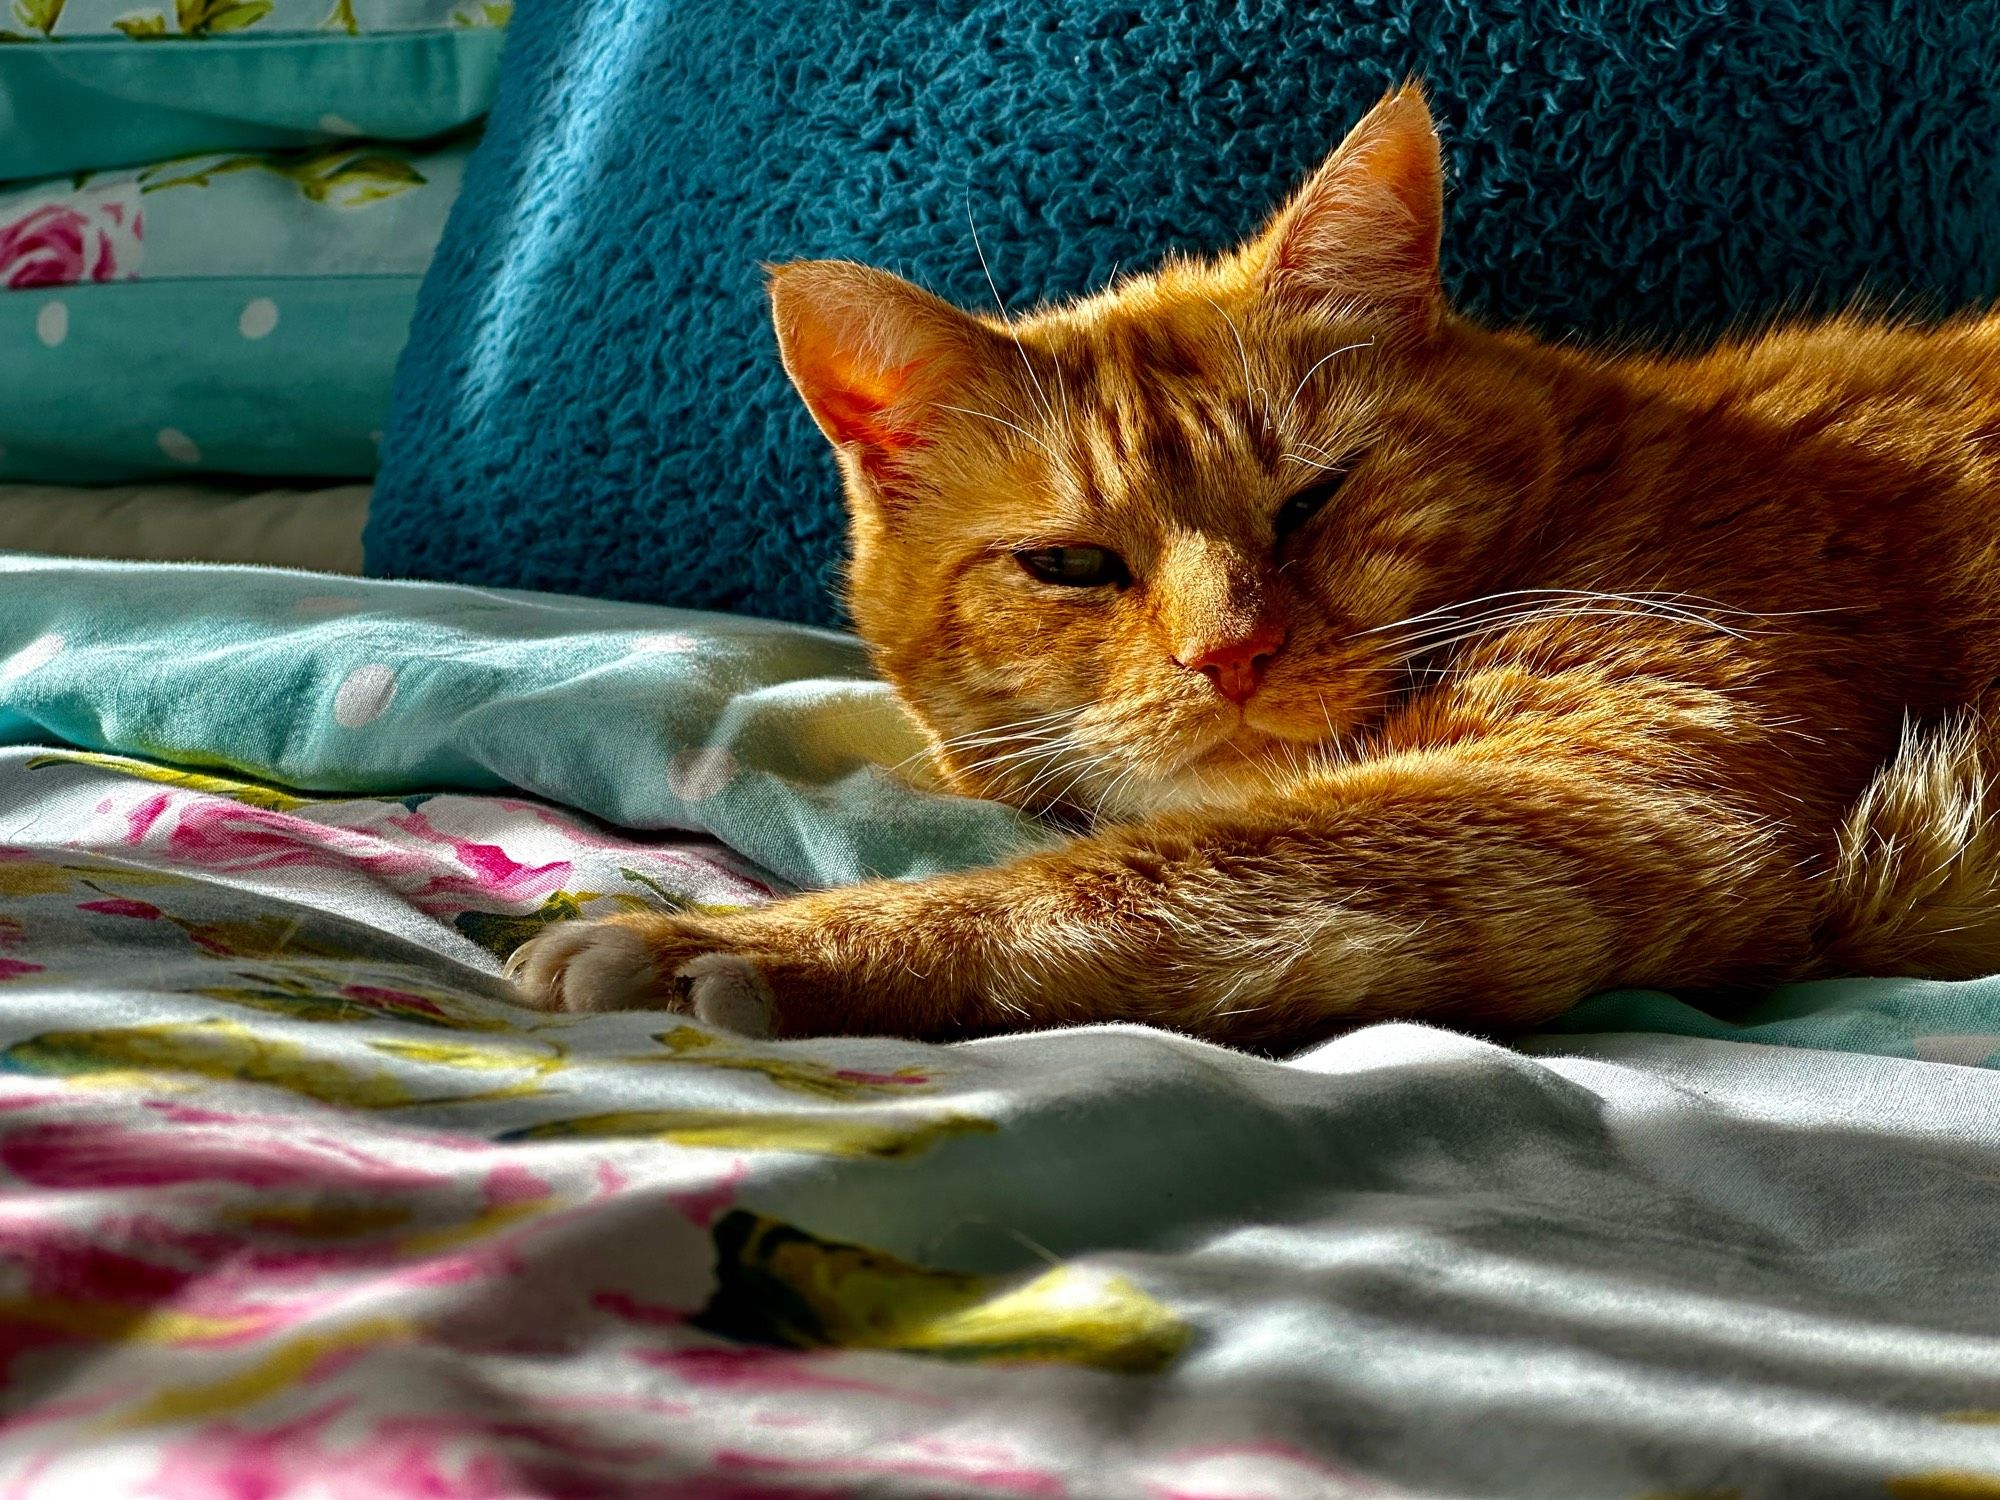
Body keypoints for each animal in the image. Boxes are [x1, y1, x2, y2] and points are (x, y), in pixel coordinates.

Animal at [508, 88, 2000, 1048]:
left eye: (1313, 502)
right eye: (1069, 563)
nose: (1232, 653)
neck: (1593, 470)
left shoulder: (1616, 795)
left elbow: (1123, 882)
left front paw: (739, 945)